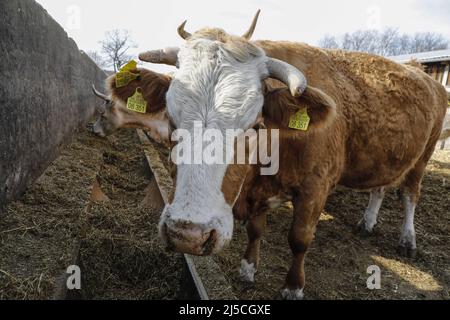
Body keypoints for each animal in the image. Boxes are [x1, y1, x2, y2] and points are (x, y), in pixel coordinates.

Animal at [90, 10, 446, 300]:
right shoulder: (258, 191)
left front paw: (293, 286)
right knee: (380, 188)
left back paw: (408, 239)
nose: (188, 236)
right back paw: (368, 222)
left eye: (255, 125)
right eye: (171, 120)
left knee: (410, 194)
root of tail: (424, 73)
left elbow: (299, 238)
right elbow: (256, 230)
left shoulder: (316, 188)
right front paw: (248, 269)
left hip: (424, 156)